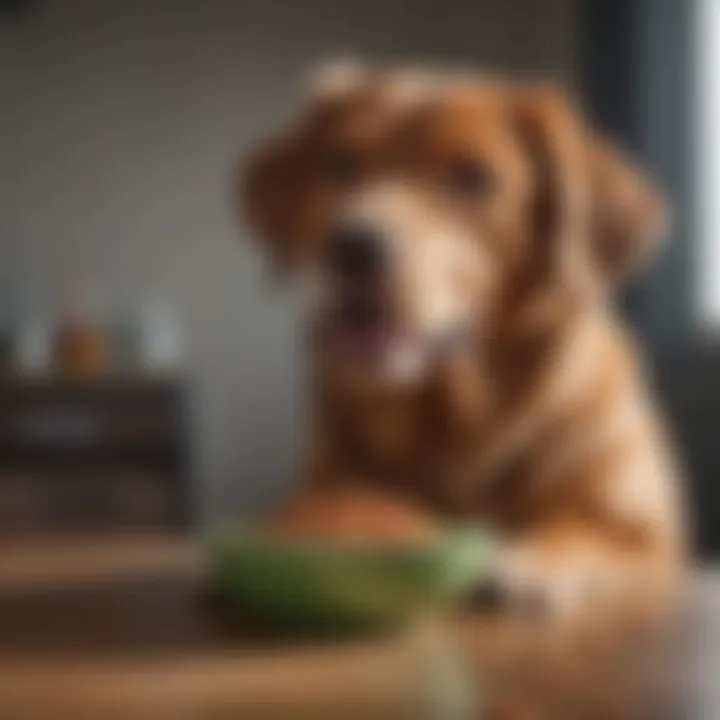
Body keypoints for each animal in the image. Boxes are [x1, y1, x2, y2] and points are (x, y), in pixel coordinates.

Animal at [240, 66, 688, 716]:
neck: (458, 418)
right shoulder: (327, 480)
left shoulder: (646, 533)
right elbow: (339, 500)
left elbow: (579, 529)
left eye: (472, 178)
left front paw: (532, 563)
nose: (348, 244)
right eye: (340, 164)